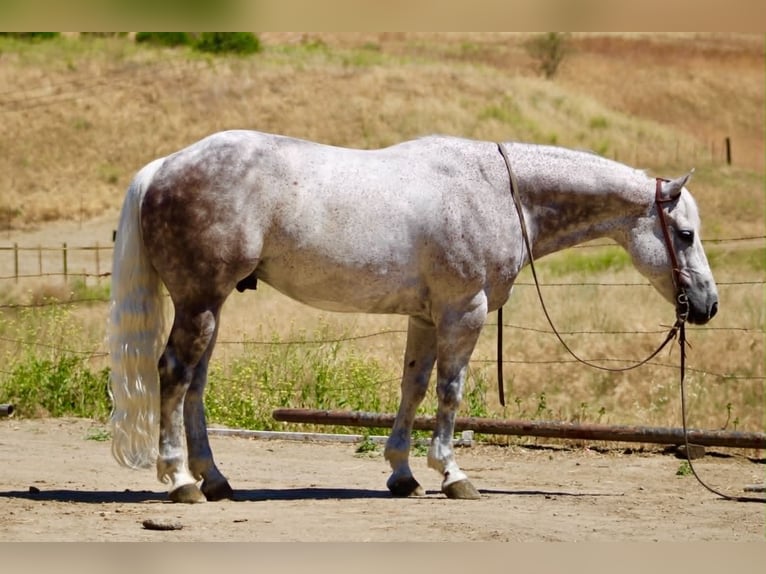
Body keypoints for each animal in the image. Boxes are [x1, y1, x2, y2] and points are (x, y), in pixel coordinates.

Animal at [108, 130, 718, 503]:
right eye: (686, 235)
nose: (708, 305)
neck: (499, 191)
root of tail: (163, 168)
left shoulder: (425, 319)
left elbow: (413, 387)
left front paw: (401, 473)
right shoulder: (463, 312)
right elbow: (450, 391)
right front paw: (452, 474)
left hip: (212, 305)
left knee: (195, 385)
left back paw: (215, 479)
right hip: (200, 301)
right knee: (173, 375)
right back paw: (180, 480)